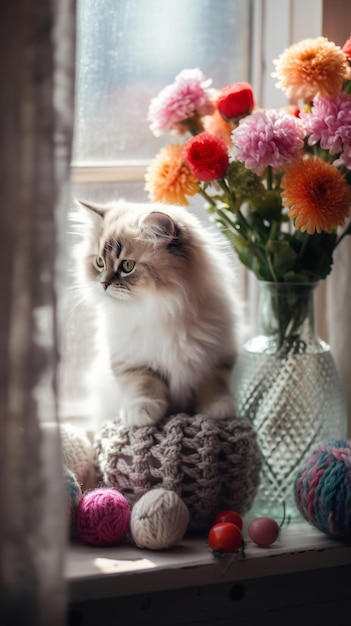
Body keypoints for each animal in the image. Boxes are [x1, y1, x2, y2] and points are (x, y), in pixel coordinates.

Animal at [71, 200, 242, 428]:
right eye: (99, 263)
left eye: (127, 266)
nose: (103, 284)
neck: (161, 309)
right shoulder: (132, 360)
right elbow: (144, 385)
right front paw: (141, 413)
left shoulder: (217, 355)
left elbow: (214, 384)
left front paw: (218, 410)